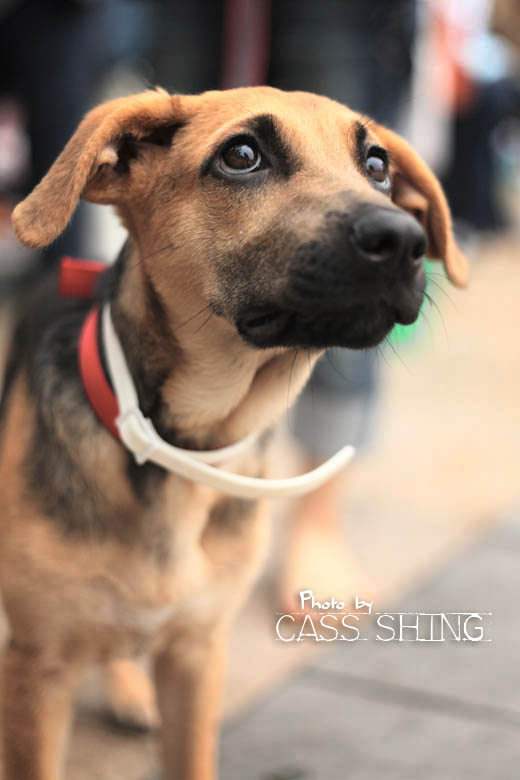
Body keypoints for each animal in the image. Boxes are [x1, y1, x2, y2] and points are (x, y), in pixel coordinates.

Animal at [0, 87, 470, 780]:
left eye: (377, 164)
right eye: (242, 156)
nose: (405, 238)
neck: (187, 445)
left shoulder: (198, 654)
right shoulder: (40, 667)